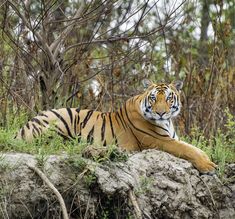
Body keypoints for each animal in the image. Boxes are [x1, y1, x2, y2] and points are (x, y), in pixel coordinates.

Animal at [14, 79, 217, 174]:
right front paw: (208, 166)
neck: (167, 122)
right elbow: (189, 150)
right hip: (63, 116)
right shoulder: (161, 141)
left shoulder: (173, 138)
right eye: (153, 98)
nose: (161, 113)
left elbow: (196, 148)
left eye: (168, 98)